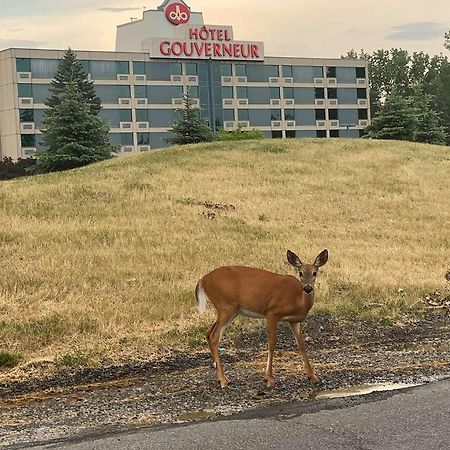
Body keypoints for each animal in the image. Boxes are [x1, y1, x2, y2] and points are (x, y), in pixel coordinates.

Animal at [195, 248, 328, 388]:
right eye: (300, 272)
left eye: (314, 273)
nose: (307, 288)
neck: (298, 299)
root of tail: (202, 280)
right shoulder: (272, 312)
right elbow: (272, 343)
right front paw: (268, 379)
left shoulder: (294, 321)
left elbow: (301, 344)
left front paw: (313, 377)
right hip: (226, 306)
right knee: (214, 336)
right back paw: (223, 380)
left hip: (227, 310)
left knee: (209, 333)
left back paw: (220, 376)